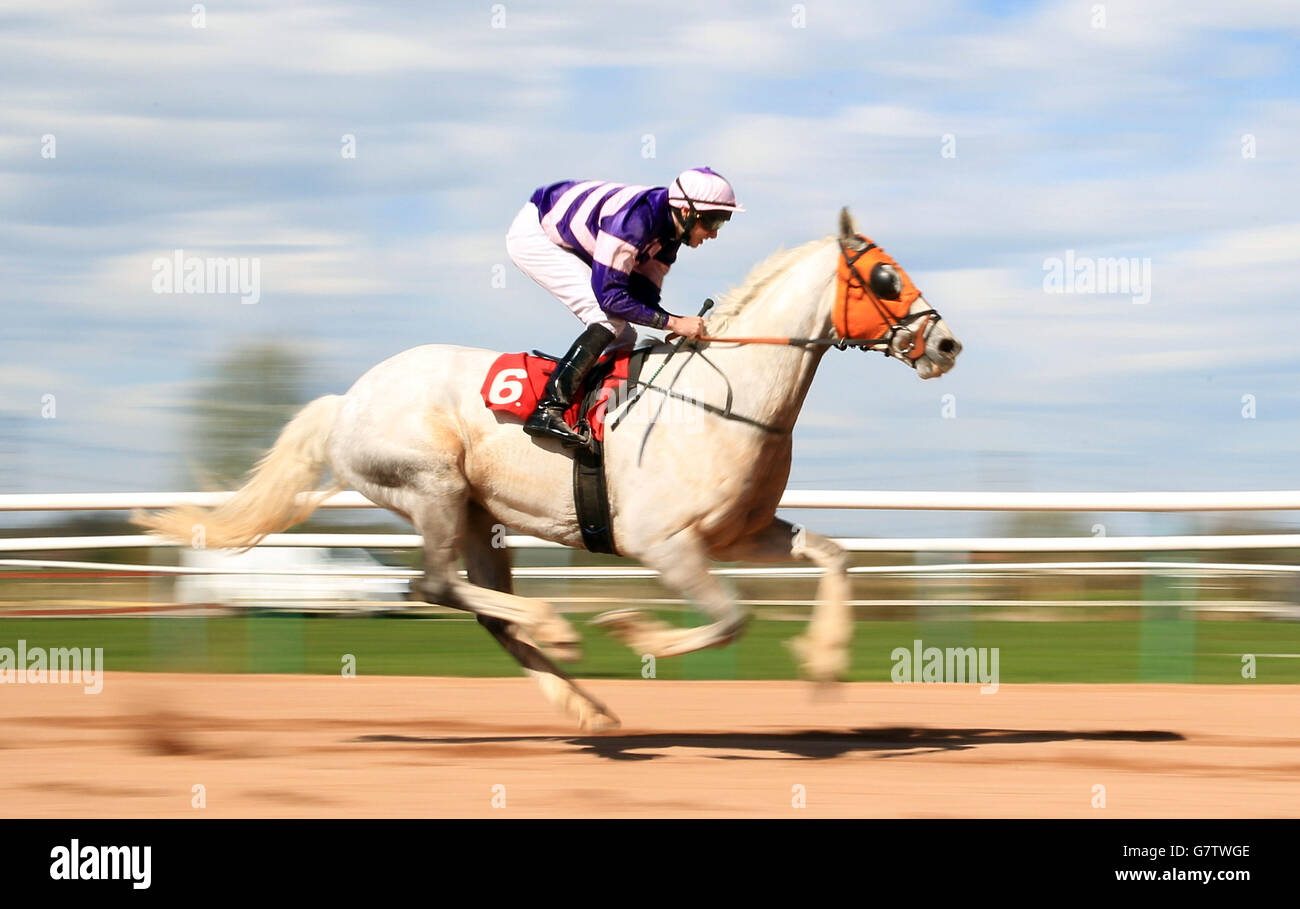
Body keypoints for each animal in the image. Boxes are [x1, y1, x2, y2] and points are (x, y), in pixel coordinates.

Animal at [134, 209, 967, 728]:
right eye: (886, 277)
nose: (946, 343)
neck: (724, 399)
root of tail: (348, 400)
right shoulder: (664, 544)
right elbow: (731, 618)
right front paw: (632, 629)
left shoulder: (743, 534)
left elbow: (835, 554)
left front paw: (824, 659)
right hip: (432, 487)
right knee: (434, 585)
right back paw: (558, 629)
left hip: (480, 517)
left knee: (479, 608)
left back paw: (586, 706)